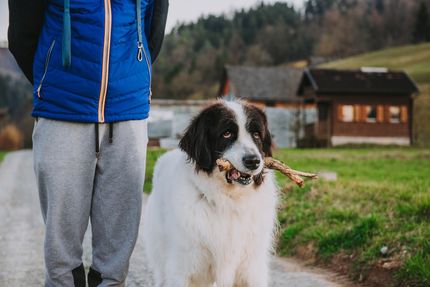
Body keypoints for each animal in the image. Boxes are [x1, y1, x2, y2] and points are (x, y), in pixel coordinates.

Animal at [143, 99, 278, 287]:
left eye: (256, 135)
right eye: (227, 134)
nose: (253, 161)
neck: (228, 200)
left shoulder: (251, 268)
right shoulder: (181, 268)